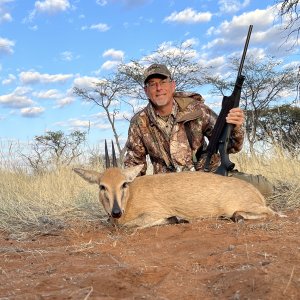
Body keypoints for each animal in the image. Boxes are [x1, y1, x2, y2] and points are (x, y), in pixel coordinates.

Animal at [73, 141, 278, 227]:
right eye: (102, 186)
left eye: (124, 184)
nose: (116, 212)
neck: (130, 199)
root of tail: (255, 192)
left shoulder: (153, 213)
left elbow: (133, 224)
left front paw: (177, 218)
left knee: (273, 213)